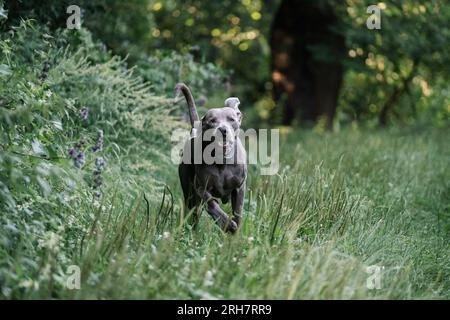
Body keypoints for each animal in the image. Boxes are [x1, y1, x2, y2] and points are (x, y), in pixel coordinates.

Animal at [175, 82, 246, 232]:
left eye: (231, 119)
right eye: (212, 121)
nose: (223, 130)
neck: (222, 161)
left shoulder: (239, 188)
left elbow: (238, 212)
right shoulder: (201, 187)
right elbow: (211, 204)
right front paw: (227, 223)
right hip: (189, 191)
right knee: (194, 210)